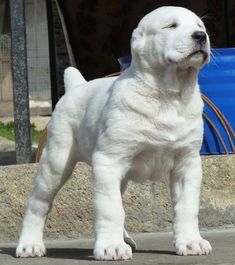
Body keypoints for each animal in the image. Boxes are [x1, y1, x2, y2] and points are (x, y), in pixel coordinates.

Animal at [15, 5, 212, 258]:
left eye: (200, 26)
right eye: (171, 25)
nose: (201, 36)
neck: (167, 95)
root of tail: (77, 87)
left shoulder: (187, 164)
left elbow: (186, 207)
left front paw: (190, 242)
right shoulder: (108, 160)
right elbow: (111, 209)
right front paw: (111, 247)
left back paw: (123, 239)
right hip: (56, 162)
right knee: (39, 203)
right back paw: (30, 244)